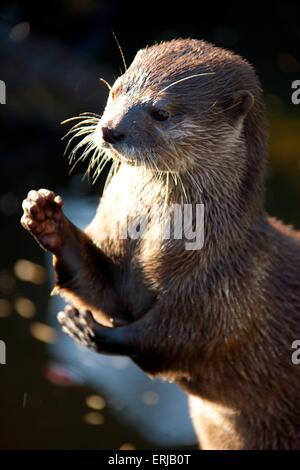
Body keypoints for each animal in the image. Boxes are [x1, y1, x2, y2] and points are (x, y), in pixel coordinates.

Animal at [20, 39, 300, 448]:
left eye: (161, 113)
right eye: (116, 89)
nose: (110, 131)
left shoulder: (225, 289)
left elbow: (174, 340)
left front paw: (93, 332)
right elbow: (104, 290)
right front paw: (45, 217)